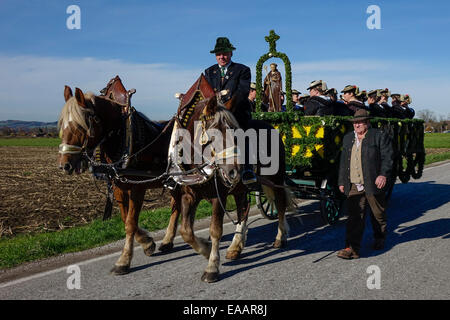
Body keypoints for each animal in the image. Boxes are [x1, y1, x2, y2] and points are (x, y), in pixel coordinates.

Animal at [56, 85, 176, 276]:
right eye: (62, 125)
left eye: (80, 125)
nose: (64, 165)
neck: (122, 135)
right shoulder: (118, 186)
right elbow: (125, 218)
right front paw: (147, 242)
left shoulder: (137, 187)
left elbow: (130, 223)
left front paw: (124, 260)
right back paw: (168, 240)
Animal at [167, 75, 290, 282]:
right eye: (213, 133)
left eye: (236, 131)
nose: (235, 170)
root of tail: (271, 127)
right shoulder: (188, 194)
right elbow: (186, 231)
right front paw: (206, 249)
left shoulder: (219, 196)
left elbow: (215, 230)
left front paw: (211, 267)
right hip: (241, 188)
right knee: (243, 210)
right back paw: (235, 247)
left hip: (277, 179)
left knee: (280, 204)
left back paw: (280, 238)